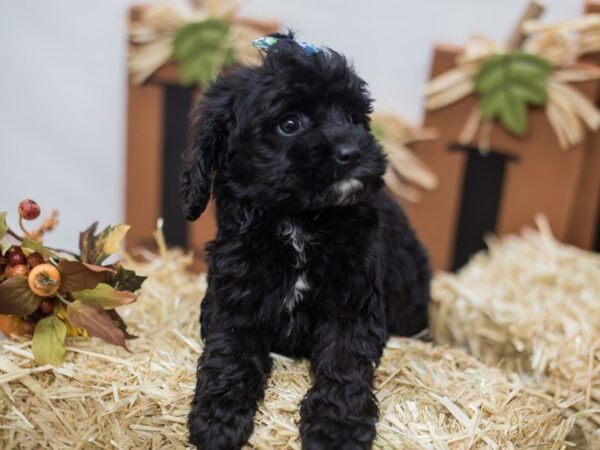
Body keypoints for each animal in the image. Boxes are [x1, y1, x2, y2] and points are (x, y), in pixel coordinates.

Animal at [179, 33, 432, 448]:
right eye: (289, 124)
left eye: (351, 117)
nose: (353, 152)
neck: (297, 221)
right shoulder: (234, 299)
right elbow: (230, 354)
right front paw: (218, 419)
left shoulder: (353, 304)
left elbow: (344, 365)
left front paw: (337, 429)